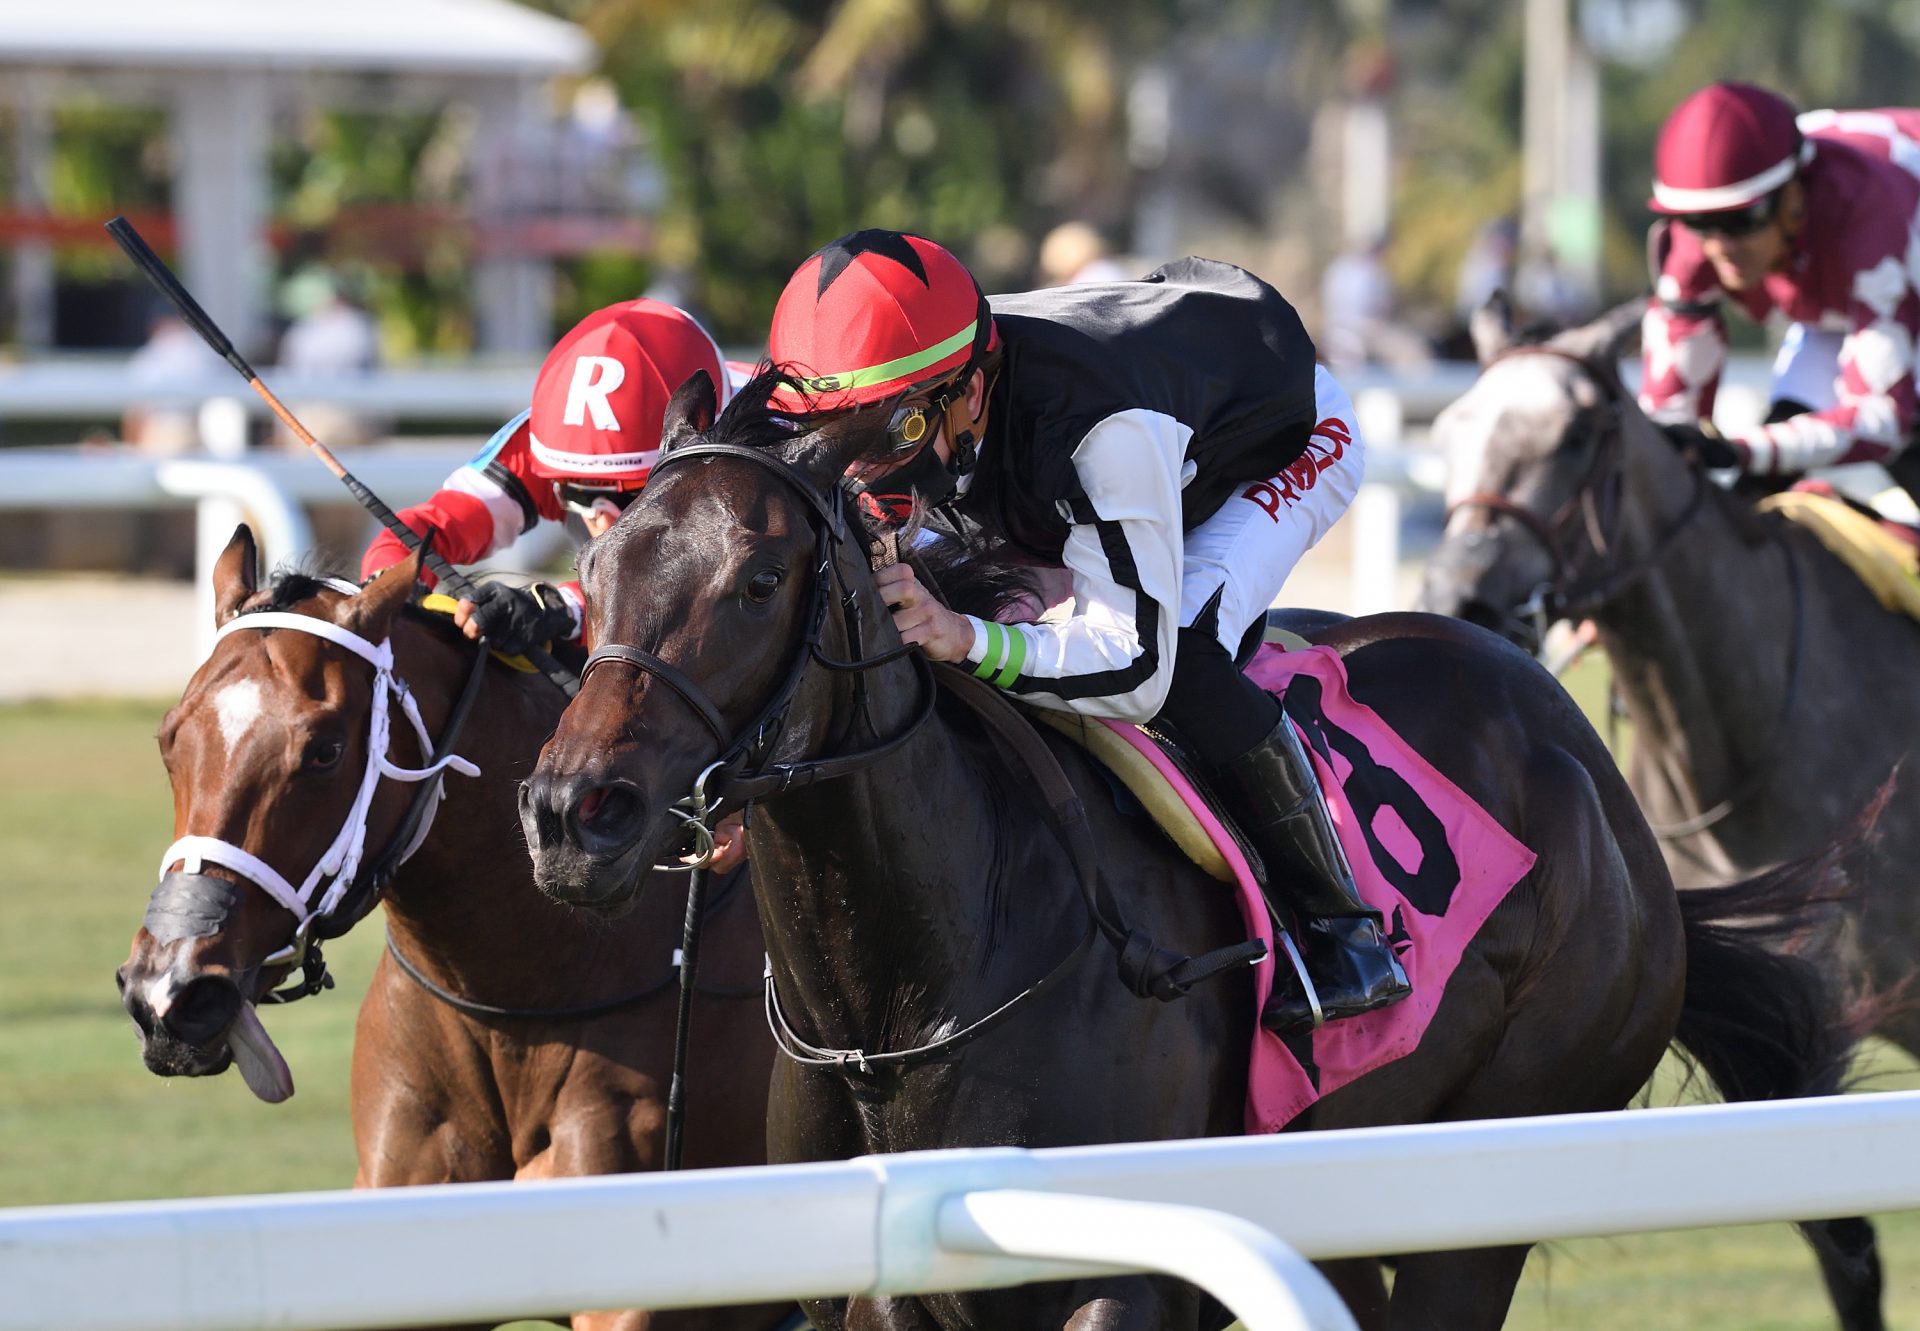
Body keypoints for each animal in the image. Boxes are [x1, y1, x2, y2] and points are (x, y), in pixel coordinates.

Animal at [522, 374, 1873, 1329]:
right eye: (595, 561)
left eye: (759, 579)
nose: (574, 810)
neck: (904, 984)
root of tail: (1588, 763)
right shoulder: (878, 1274)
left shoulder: (1123, 1278)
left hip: (1503, 1147)